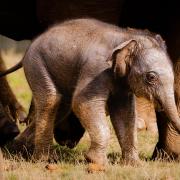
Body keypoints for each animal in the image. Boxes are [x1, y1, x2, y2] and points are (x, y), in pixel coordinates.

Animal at [1, 18, 179, 166]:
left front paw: (134, 165)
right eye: (151, 77)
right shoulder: (96, 69)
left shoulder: (121, 82)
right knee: (51, 100)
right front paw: (97, 162)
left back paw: (16, 149)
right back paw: (44, 159)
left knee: (62, 106)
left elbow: (125, 113)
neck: (126, 37)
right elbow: (83, 102)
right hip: (37, 64)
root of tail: (29, 46)